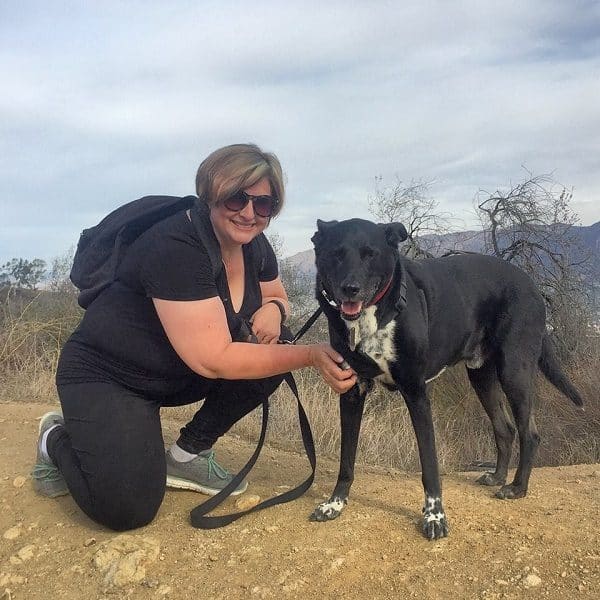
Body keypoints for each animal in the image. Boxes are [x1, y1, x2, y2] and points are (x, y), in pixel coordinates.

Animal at [312, 218, 584, 540]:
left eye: (370, 253)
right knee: (504, 428)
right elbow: (346, 458)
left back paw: (517, 487)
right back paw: (497, 476)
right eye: (337, 254)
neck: (377, 316)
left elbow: (429, 465)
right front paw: (335, 503)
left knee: (528, 433)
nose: (350, 289)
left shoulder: (416, 393)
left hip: (514, 371)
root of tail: (531, 283)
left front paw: (434, 516)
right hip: (481, 376)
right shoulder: (352, 391)